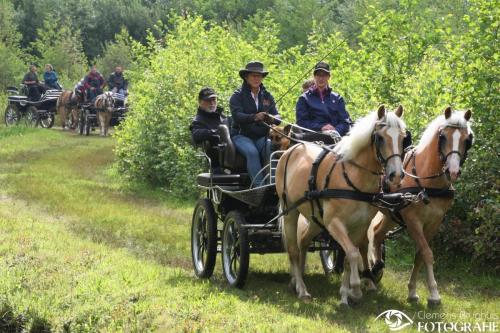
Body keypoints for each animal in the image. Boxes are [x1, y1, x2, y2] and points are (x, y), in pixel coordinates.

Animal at [276, 104, 408, 304]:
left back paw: (296, 281)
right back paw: (302, 289)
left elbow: (349, 255)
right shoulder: (334, 223)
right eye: (379, 138)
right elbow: (353, 253)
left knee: (303, 242)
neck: (354, 178)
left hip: (316, 219)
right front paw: (355, 289)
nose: (396, 175)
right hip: (290, 211)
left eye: (402, 137)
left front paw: (346, 293)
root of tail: (293, 149)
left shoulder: (359, 225)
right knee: (293, 250)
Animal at [368, 107, 472, 306]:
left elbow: (420, 255)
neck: (426, 181)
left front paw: (413, 292)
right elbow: (427, 253)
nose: (453, 171)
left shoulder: (434, 222)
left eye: (467, 139)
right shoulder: (412, 221)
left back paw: (376, 269)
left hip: (390, 214)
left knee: (377, 234)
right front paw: (434, 293)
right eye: (443, 137)